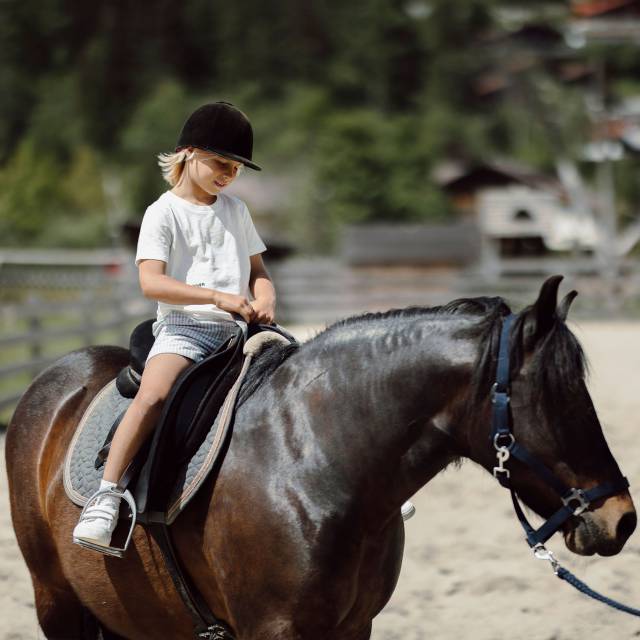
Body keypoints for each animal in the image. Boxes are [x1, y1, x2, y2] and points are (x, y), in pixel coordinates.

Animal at [5, 276, 636, 640]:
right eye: (555, 396)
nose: (622, 519)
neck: (313, 465)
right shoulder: (274, 630)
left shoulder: (355, 627)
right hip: (56, 603)